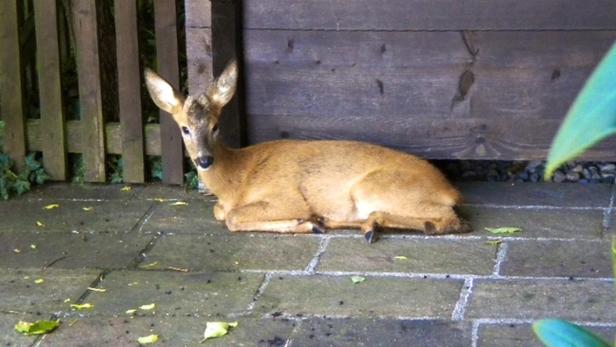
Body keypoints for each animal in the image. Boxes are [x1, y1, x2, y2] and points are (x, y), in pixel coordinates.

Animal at [146, 61, 472, 243]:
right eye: (184, 129)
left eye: (215, 126)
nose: (204, 159)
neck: (236, 180)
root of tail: (451, 191)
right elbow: (221, 213)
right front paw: (311, 223)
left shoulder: (286, 196)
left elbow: (233, 218)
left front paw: (303, 223)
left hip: (373, 187)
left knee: (452, 220)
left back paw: (368, 225)